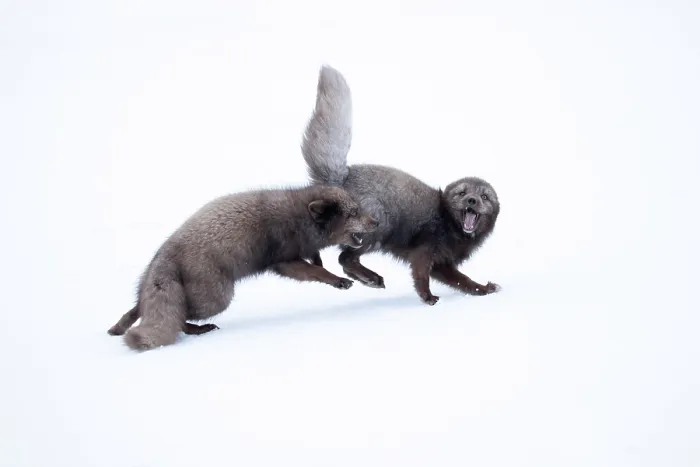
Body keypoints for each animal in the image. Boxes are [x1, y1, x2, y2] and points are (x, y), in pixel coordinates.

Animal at [108, 185, 378, 350]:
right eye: (353, 213)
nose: (376, 221)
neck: (300, 219)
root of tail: (164, 253)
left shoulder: (301, 251)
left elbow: (316, 261)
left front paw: (320, 260)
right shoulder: (284, 261)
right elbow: (317, 272)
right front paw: (338, 280)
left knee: (140, 307)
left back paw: (121, 325)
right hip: (217, 299)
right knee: (178, 316)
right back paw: (199, 329)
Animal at [300, 65, 501, 305]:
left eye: (485, 197)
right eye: (462, 193)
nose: (472, 200)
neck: (448, 224)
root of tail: (341, 178)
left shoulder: (442, 263)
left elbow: (464, 281)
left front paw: (485, 289)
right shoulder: (424, 250)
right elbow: (421, 275)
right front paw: (428, 297)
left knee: (345, 261)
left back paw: (371, 279)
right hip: (379, 227)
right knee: (345, 258)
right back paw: (372, 278)